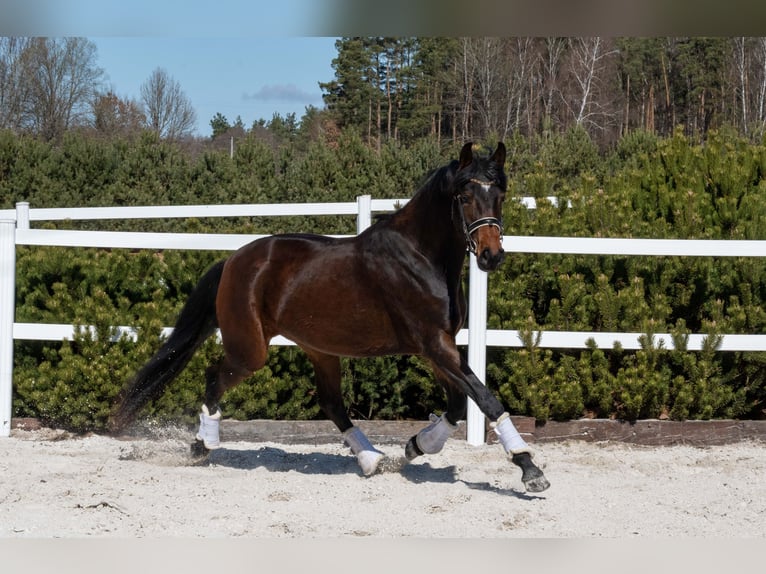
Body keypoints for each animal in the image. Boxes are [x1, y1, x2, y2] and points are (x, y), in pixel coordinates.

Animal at [110, 142, 550, 493]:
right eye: (464, 195)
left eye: (500, 193)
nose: (491, 256)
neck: (420, 257)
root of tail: (233, 260)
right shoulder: (433, 344)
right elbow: (485, 399)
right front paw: (529, 469)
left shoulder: (440, 347)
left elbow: (460, 405)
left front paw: (414, 447)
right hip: (250, 350)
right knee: (215, 377)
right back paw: (202, 446)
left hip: (319, 348)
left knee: (331, 403)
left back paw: (371, 459)